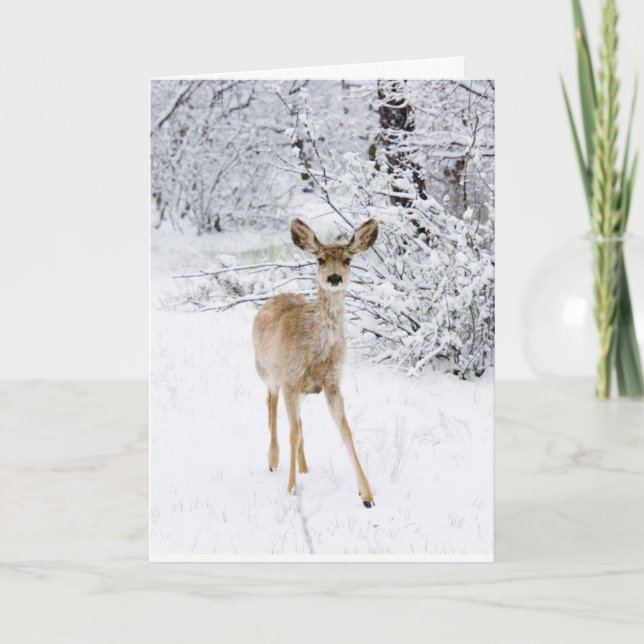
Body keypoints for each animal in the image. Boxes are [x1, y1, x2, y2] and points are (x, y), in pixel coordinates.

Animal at [252, 217, 379, 507]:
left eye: (347, 260)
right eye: (320, 260)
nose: (334, 278)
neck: (316, 351)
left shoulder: (332, 383)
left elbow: (346, 431)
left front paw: (367, 495)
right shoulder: (289, 380)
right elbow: (292, 433)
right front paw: (291, 490)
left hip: (299, 390)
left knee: (297, 422)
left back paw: (304, 468)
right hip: (267, 372)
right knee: (271, 405)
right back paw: (273, 459)